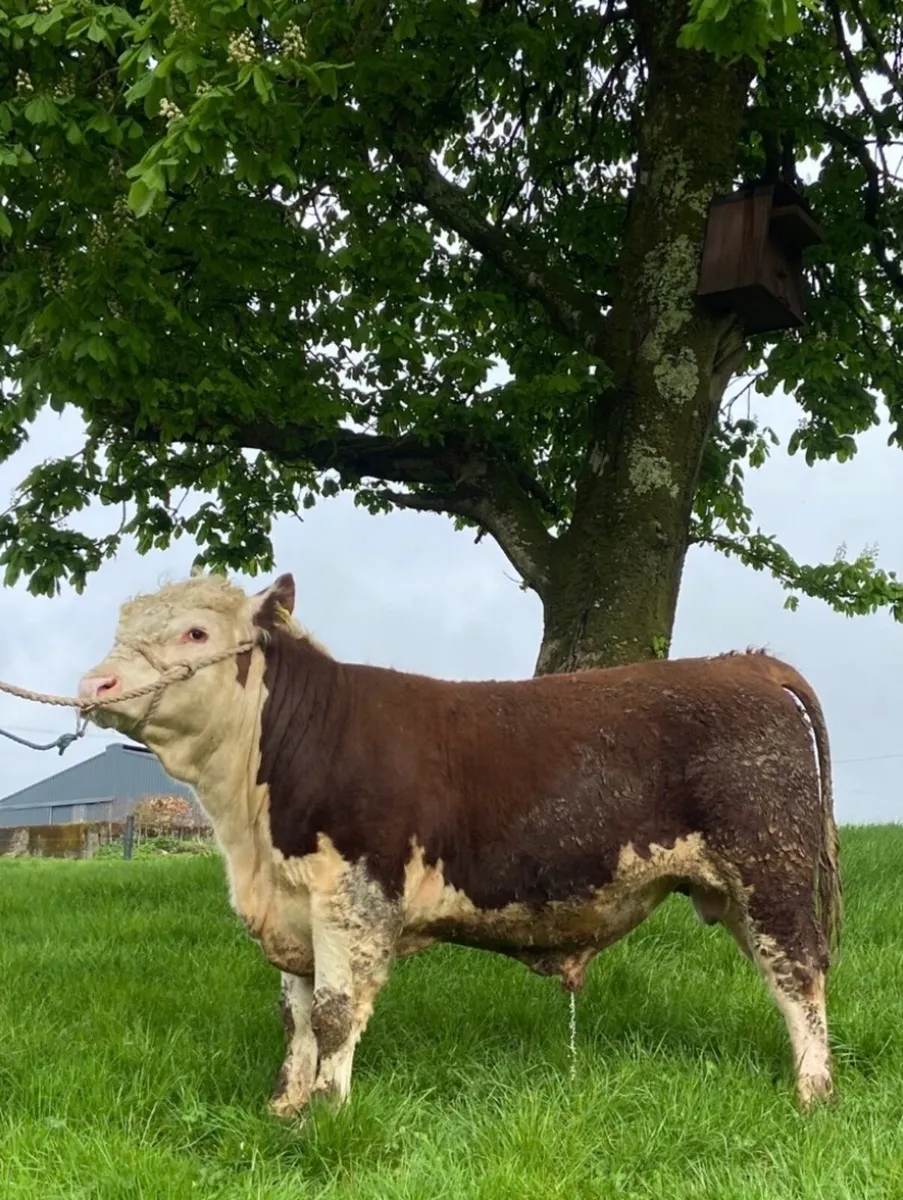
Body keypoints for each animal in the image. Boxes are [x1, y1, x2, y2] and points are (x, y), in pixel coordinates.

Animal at [77, 571, 842, 1114]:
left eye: (196, 633)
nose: (94, 682)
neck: (251, 832)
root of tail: (748, 664)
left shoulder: (353, 896)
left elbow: (333, 1013)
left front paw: (325, 1113)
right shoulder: (292, 906)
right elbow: (295, 1015)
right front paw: (283, 1106)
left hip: (769, 869)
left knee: (798, 973)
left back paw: (812, 1094)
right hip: (735, 888)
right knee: (783, 976)